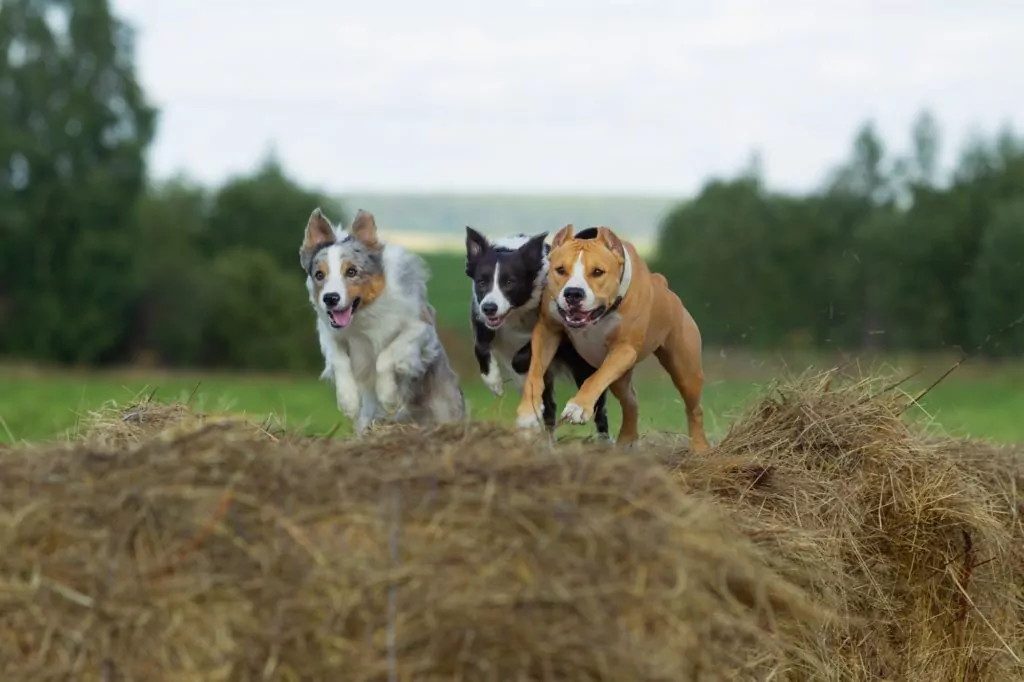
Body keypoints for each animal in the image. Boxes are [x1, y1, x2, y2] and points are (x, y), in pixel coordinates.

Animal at [468, 225, 610, 438]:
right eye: (481, 282)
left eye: (510, 282)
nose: (490, 308)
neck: (517, 313)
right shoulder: (480, 315)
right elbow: (480, 346)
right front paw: (494, 382)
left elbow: (520, 357)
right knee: (550, 408)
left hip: (582, 366)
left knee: (599, 409)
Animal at [516, 222, 708, 450]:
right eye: (560, 270)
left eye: (598, 271)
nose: (573, 293)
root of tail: (663, 284)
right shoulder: (547, 330)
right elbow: (535, 374)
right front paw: (528, 412)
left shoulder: (624, 349)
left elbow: (595, 378)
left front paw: (578, 407)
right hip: (621, 379)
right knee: (631, 402)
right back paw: (626, 442)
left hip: (685, 369)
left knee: (694, 409)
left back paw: (700, 447)